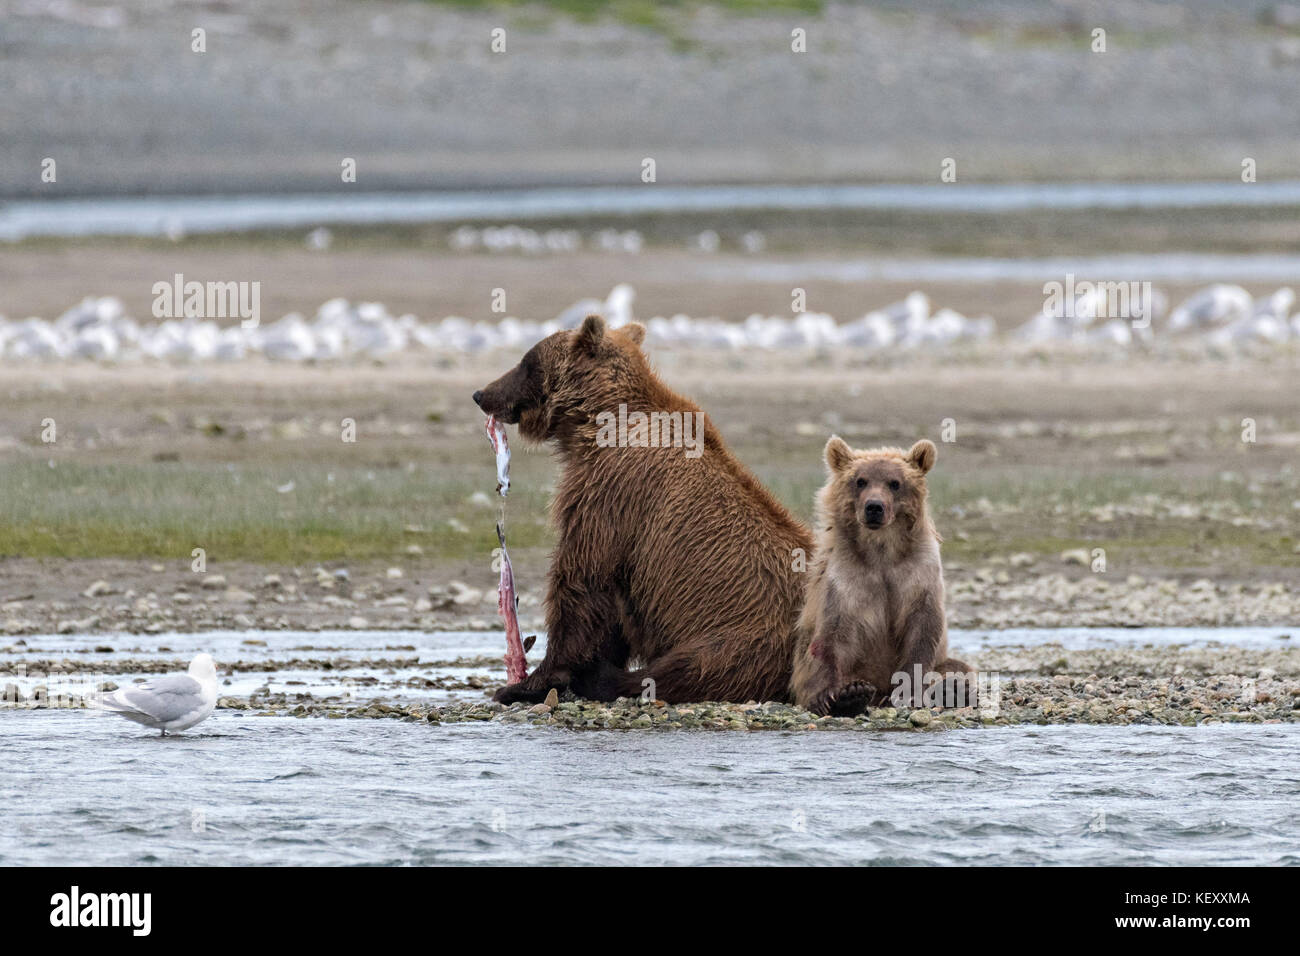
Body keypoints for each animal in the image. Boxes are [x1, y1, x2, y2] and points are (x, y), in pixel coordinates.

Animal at [473, 314, 814, 704]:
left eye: (526, 362)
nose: (481, 393)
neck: (594, 424)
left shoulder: (609, 492)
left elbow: (584, 580)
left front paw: (527, 683)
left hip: (741, 637)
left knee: (685, 670)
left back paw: (607, 679)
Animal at [790, 435, 975, 716]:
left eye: (895, 483)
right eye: (860, 481)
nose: (874, 507)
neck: (882, 552)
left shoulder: (918, 572)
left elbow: (923, 627)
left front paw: (912, 692)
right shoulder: (847, 576)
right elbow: (834, 635)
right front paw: (839, 695)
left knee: (958, 668)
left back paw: (951, 688)